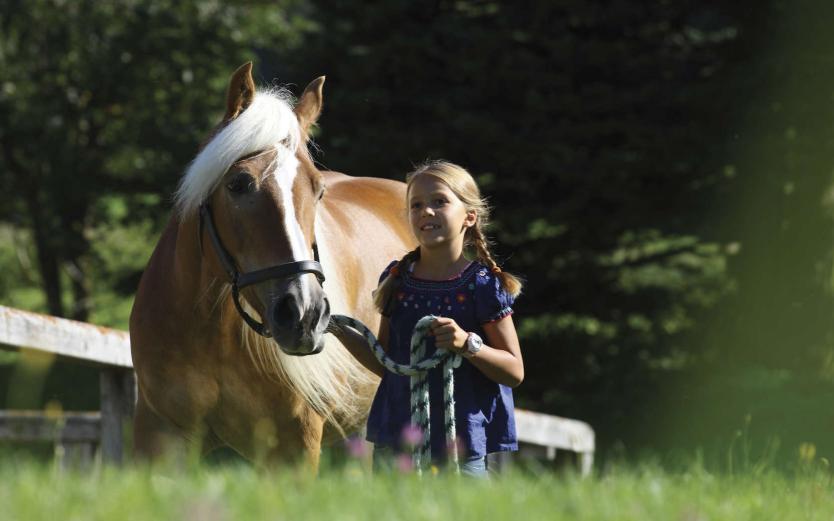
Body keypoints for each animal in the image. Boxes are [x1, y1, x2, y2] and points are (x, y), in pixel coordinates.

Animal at [129, 64, 412, 468]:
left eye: (318, 190)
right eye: (238, 183)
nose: (305, 314)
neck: (212, 334)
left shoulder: (292, 450)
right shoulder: (159, 437)